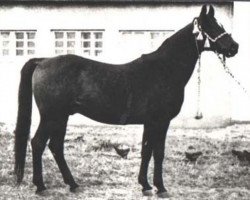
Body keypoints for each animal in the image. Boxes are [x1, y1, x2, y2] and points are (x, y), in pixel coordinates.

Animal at [14, 5, 238, 198]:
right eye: (212, 26)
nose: (234, 47)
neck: (165, 69)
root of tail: (43, 61)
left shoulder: (150, 122)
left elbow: (147, 151)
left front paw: (145, 185)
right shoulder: (160, 121)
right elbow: (158, 152)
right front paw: (161, 187)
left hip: (61, 117)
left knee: (56, 147)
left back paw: (73, 184)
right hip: (51, 116)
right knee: (38, 143)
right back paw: (41, 187)